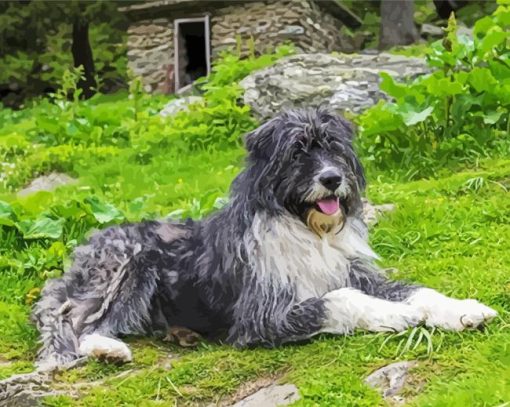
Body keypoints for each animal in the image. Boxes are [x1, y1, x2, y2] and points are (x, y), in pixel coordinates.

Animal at [34, 107, 498, 368]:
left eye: (333, 147)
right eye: (297, 152)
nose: (333, 180)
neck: (307, 228)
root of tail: (86, 245)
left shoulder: (358, 273)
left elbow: (418, 291)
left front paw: (463, 310)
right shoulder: (262, 314)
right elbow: (340, 299)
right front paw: (394, 315)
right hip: (128, 265)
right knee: (77, 321)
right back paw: (105, 349)